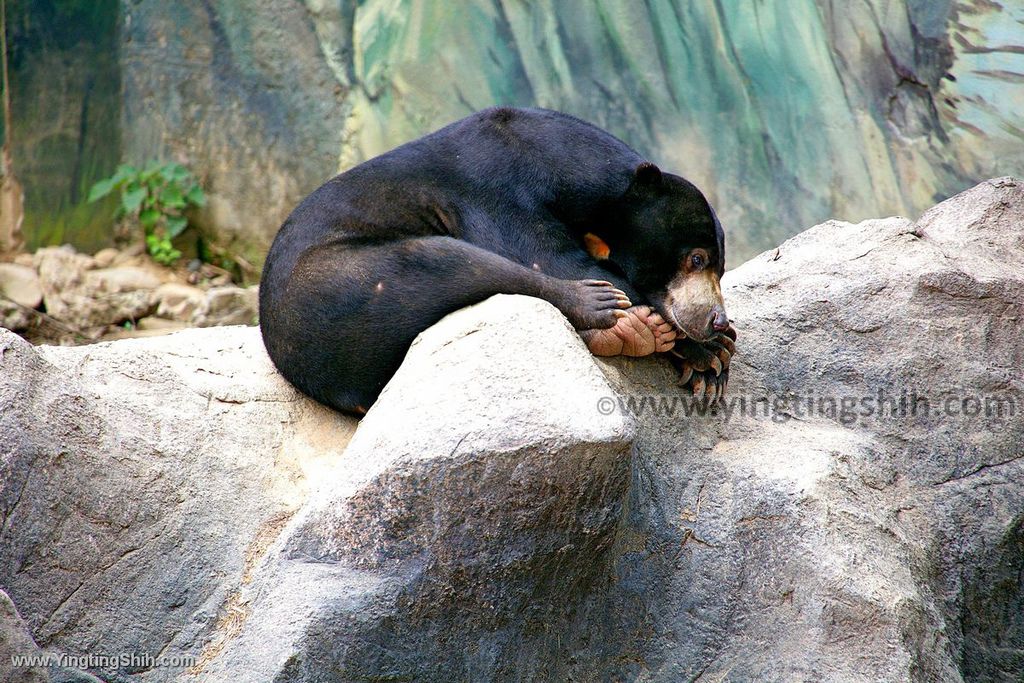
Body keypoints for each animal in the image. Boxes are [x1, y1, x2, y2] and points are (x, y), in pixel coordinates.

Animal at [260, 107, 733, 417]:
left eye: (720, 268)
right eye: (696, 258)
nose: (716, 319)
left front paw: (710, 365)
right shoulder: (497, 187)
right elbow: (543, 256)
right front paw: (709, 354)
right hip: (342, 283)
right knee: (454, 263)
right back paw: (614, 319)